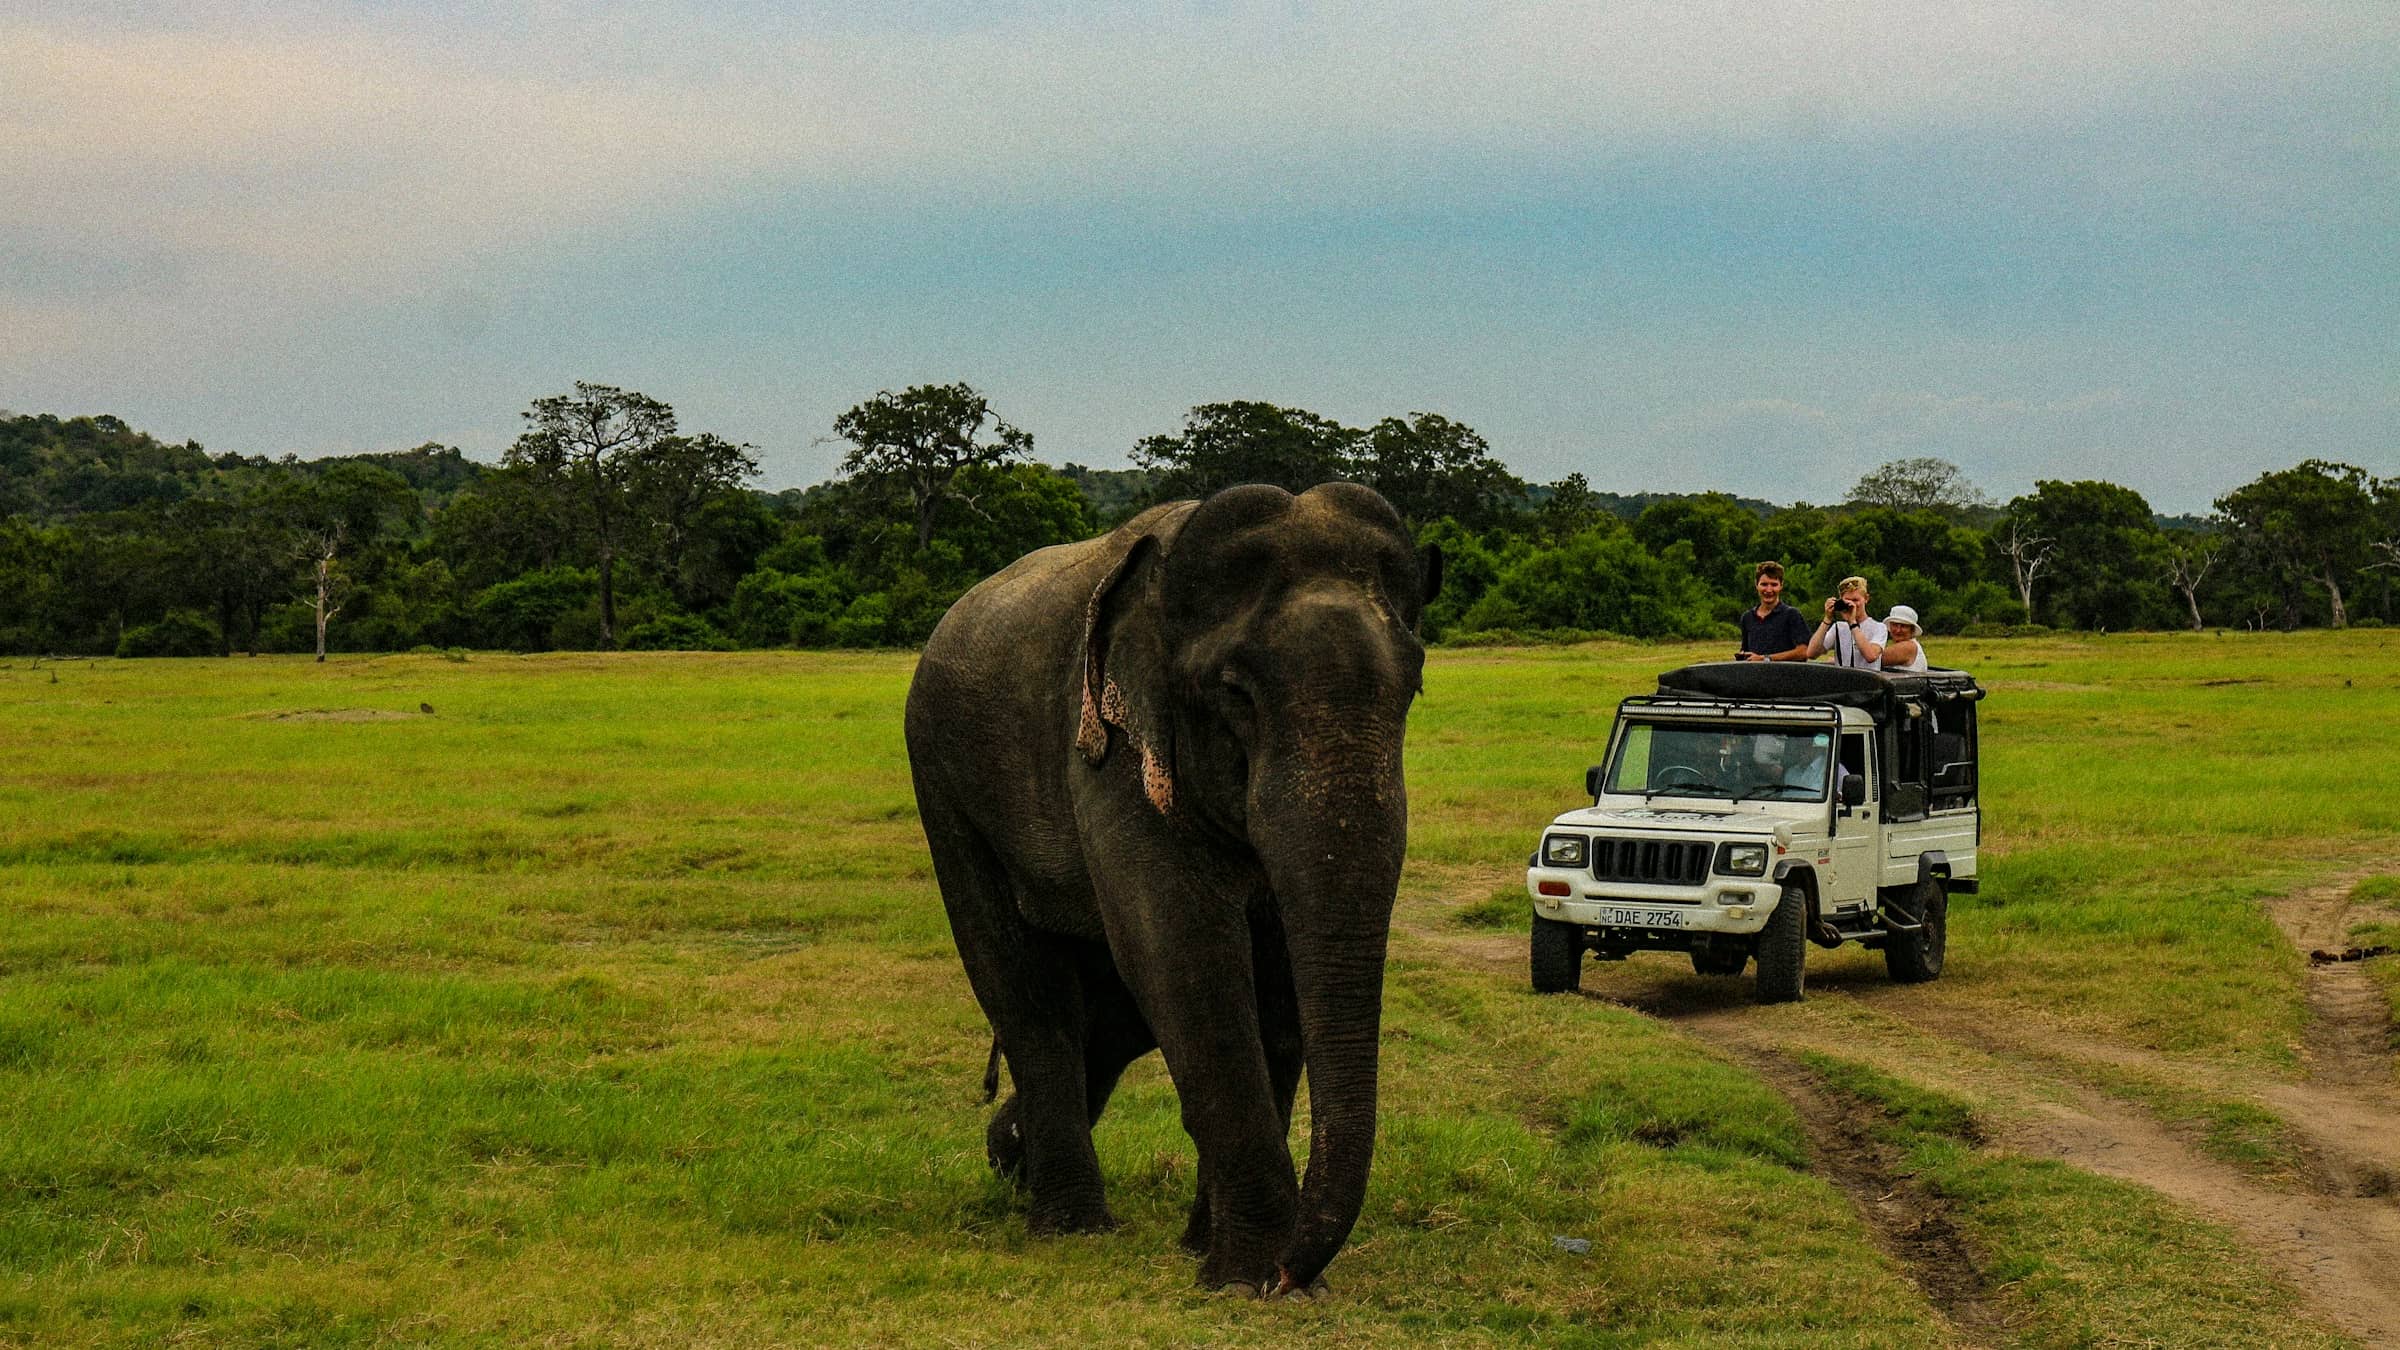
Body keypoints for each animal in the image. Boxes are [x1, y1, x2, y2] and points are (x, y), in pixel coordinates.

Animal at [904, 482, 1440, 1294]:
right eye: (1236, 694)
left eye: (1413, 689)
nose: (1294, 1272)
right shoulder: (1112, 749)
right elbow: (1182, 950)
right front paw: (1248, 1278)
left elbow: (1272, 976)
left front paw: (1221, 1258)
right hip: (942, 783)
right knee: (1026, 989)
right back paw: (1069, 1223)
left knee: (1107, 1013)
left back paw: (1010, 1158)